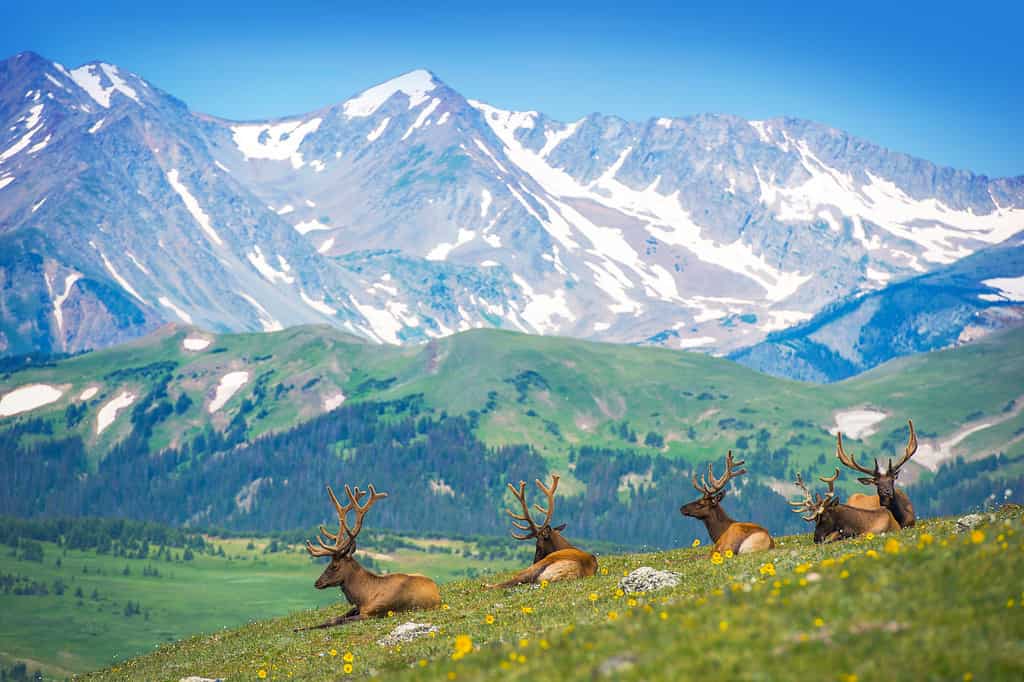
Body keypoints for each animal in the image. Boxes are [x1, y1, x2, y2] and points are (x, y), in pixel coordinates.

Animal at [296, 481, 440, 630]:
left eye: (334, 565)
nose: (317, 582)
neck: (364, 596)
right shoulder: (357, 608)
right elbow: (333, 618)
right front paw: (299, 628)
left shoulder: (373, 613)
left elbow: (336, 621)